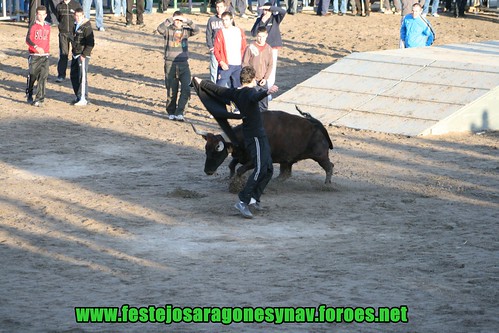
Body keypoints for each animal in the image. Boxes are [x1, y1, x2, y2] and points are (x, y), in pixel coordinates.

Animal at [193, 109, 334, 182]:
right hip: (288, 159)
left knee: (329, 167)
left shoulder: (256, 161)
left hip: (320, 156)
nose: (208, 171)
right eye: (206, 151)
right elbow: (231, 165)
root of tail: (317, 125)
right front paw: (230, 178)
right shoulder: (240, 156)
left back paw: (327, 185)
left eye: (216, 152)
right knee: (286, 172)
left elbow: (240, 169)